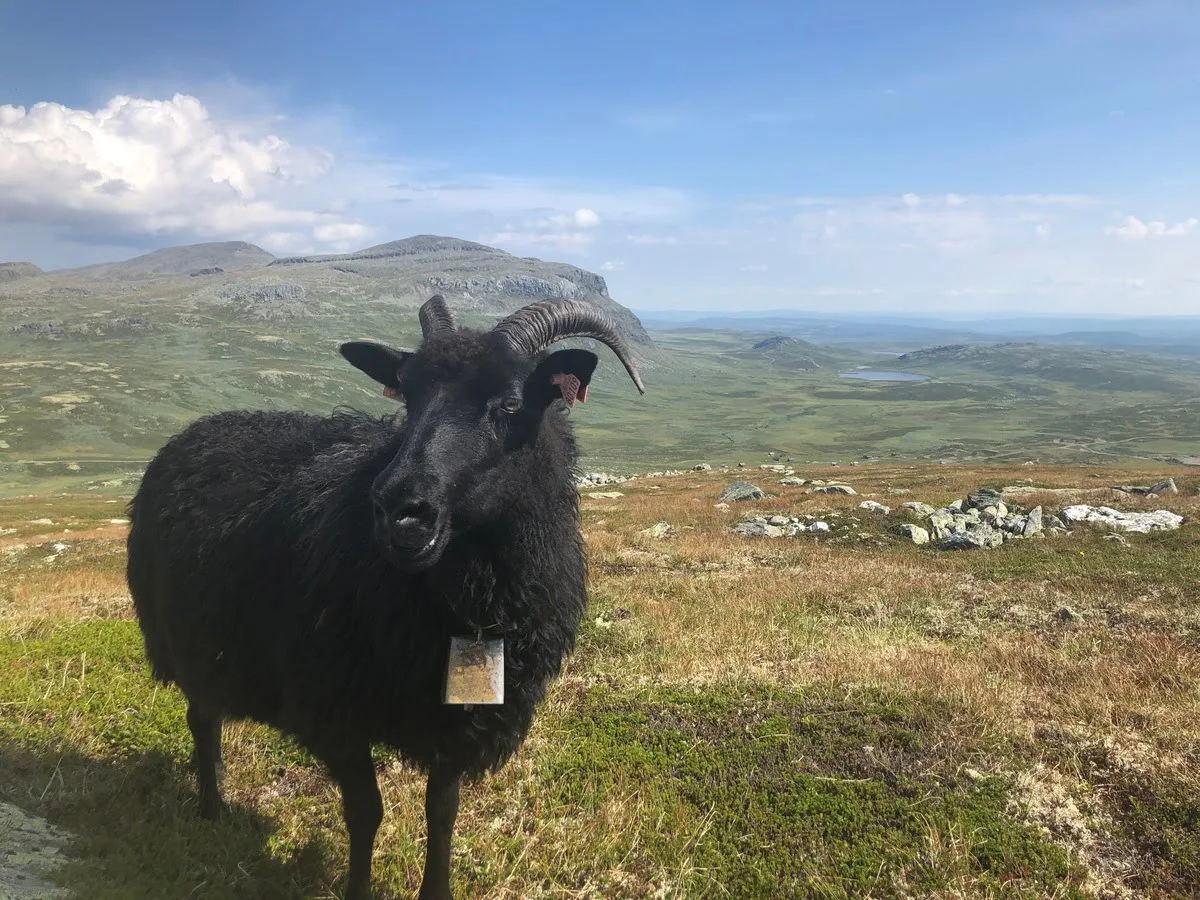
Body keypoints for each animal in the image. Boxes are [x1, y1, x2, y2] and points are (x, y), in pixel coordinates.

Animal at [125, 295, 645, 900]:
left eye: (511, 403)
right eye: (409, 395)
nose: (400, 512)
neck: (469, 604)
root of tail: (196, 428)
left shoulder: (456, 721)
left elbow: (441, 810)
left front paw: (437, 890)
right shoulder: (335, 712)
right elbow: (366, 813)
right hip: (186, 644)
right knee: (202, 720)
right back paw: (212, 810)